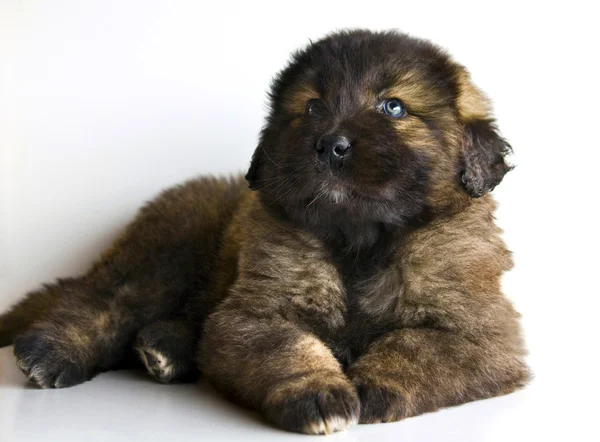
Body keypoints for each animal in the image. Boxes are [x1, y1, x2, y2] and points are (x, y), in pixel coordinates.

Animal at [0, 30, 528, 436]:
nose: (331, 145)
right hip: (169, 252)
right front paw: (319, 393)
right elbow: (287, 347)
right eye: (312, 108)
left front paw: (371, 384)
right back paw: (52, 350)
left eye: (393, 107)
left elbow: (413, 347)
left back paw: (164, 349)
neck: (358, 241)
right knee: (106, 298)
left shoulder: (483, 336)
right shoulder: (254, 315)